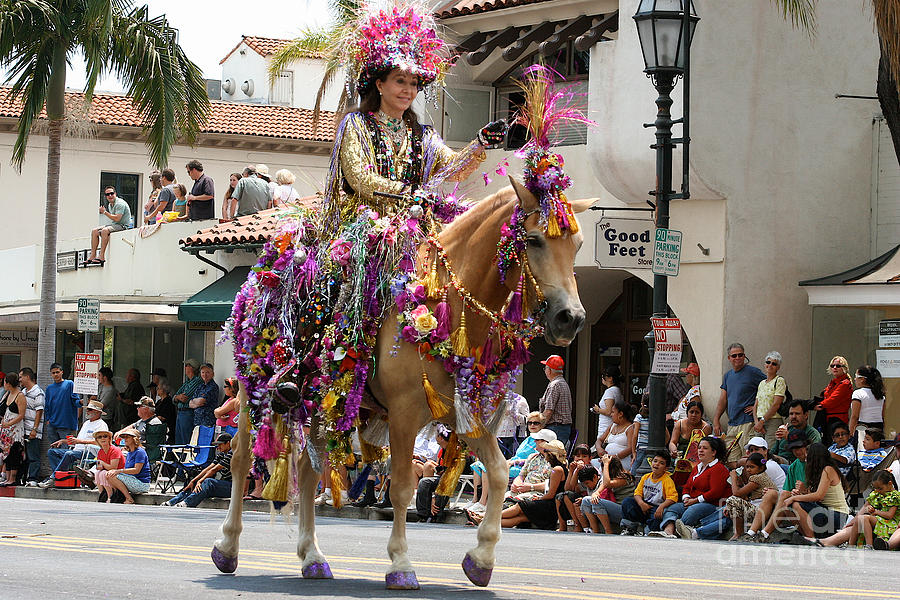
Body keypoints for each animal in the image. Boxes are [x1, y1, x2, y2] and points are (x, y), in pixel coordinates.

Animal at [210, 178, 592, 592]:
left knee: (310, 473)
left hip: (324, 408)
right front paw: (401, 564)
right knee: (240, 460)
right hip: (252, 392)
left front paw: (480, 559)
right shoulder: (405, 415)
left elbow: (500, 471)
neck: (443, 304)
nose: (571, 319)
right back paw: (227, 548)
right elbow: (402, 488)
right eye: (535, 240)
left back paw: (312, 557)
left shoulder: (465, 416)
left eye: (578, 245)